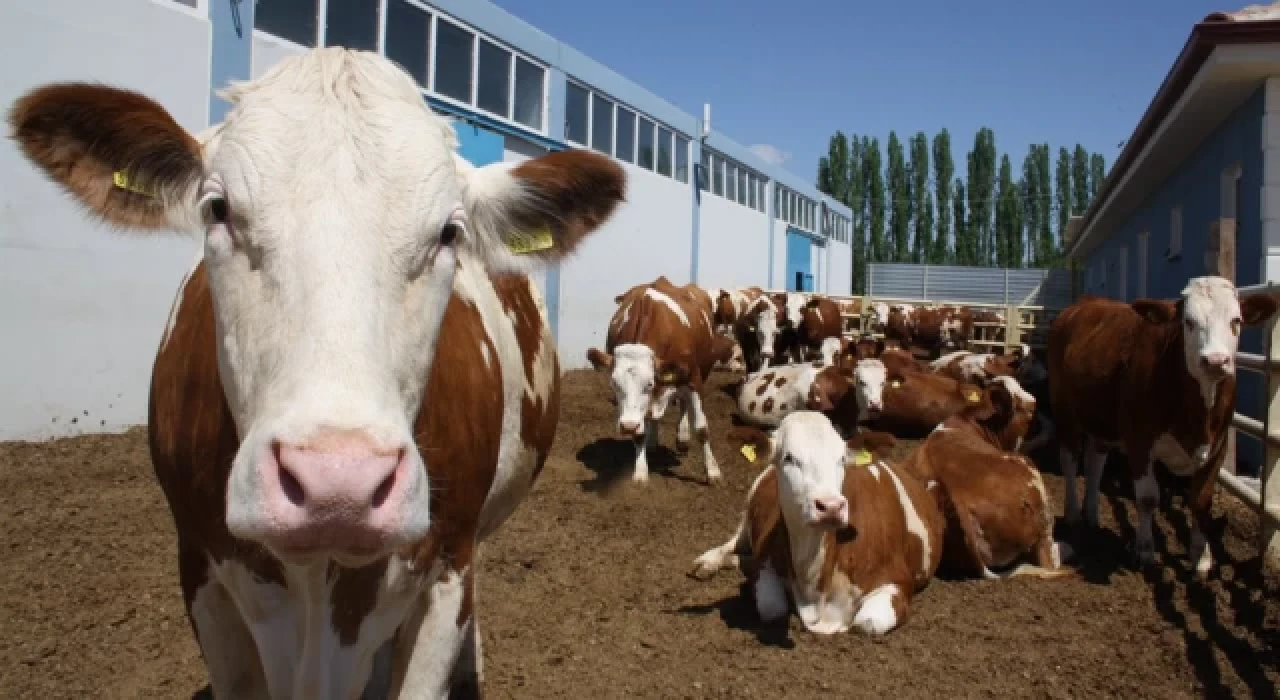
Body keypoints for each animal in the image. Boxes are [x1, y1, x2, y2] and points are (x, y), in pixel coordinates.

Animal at [586, 276, 732, 483]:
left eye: (649, 384)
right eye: (614, 384)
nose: (627, 427)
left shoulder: (693, 379)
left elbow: (702, 429)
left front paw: (712, 471)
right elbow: (640, 432)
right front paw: (640, 471)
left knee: (684, 405)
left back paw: (683, 438)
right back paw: (653, 441)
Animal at [691, 414, 952, 637]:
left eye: (842, 459)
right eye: (789, 457)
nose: (831, 506)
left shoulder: (898, 580)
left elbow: (866, 623)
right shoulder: (766, 563)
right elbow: (772, 608)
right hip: (749, 506)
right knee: (735, 541)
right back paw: (707, 562)